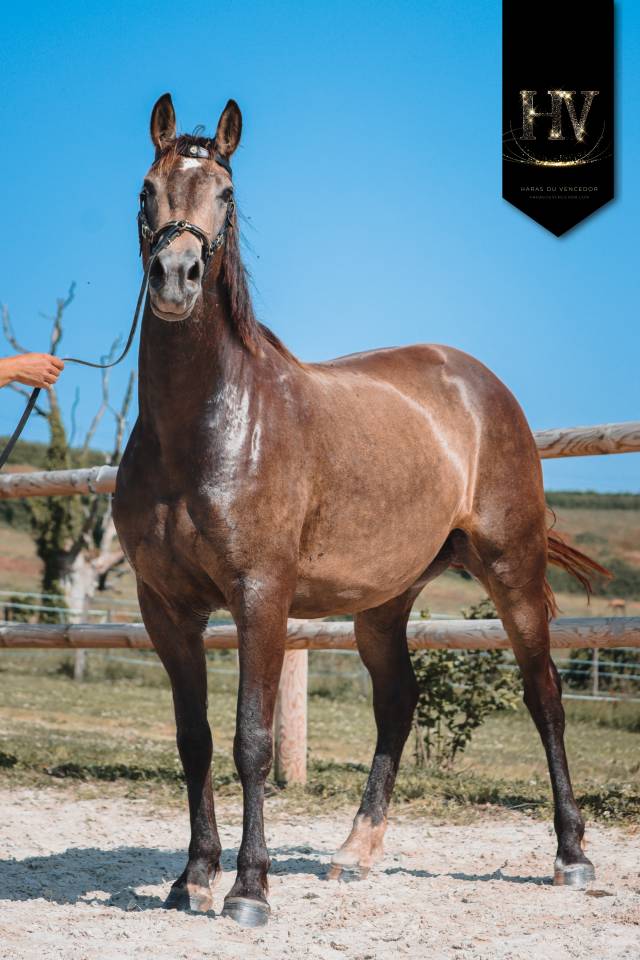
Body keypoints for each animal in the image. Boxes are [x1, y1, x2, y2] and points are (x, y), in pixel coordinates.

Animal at [113, 94, 605, 927]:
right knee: (398, 702)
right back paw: (354, 851)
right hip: (382, 603)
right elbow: (194, 739)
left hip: (512, 569)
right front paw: (194, 878)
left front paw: (249, 890)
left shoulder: (261, 598)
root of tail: (479, 382)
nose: (176, 277)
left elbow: (252, 740)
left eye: (227, 194)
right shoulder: (166, 607)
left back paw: (571, 856)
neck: (206, 428)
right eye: (147, 189)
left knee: (544, 698)